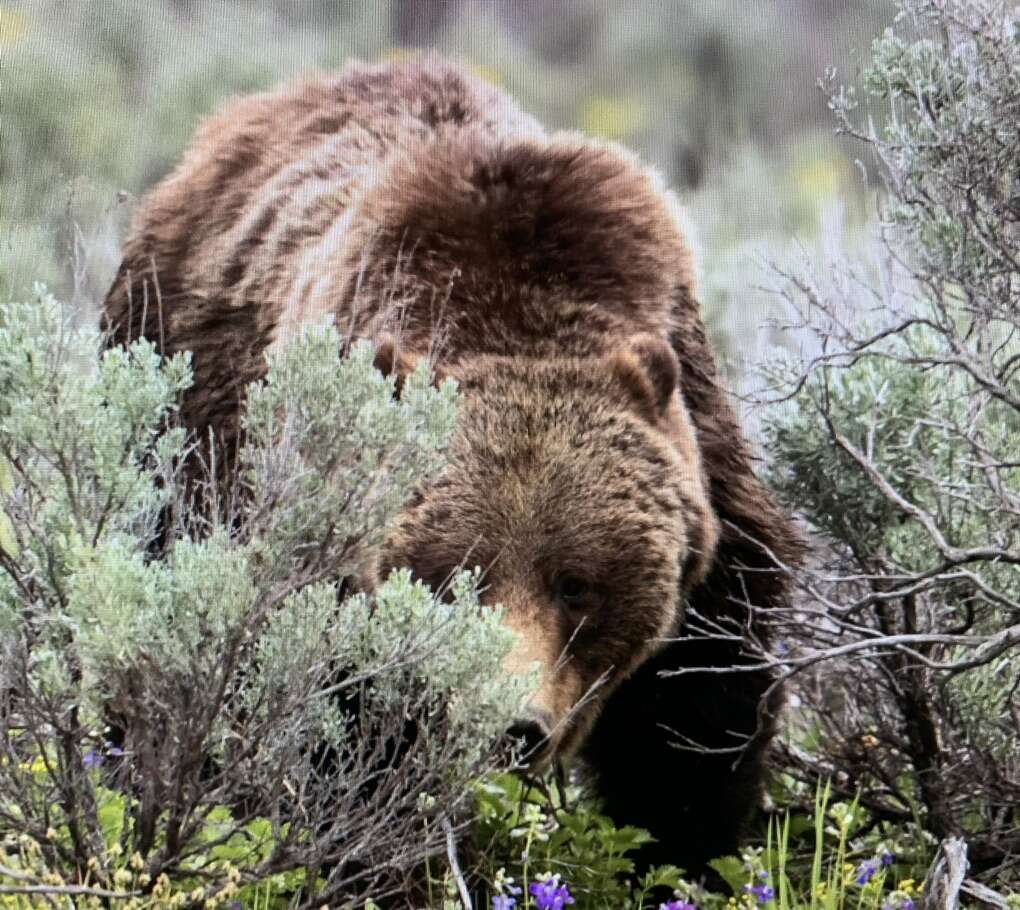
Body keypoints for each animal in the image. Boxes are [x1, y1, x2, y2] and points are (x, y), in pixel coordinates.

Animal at [102, 56, 802, 876]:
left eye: (575, 583)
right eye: (455, 578)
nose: (511, 724)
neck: (519, 308)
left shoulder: (709, 506)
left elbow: (694, 720)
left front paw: (684, 851)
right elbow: (347, 736)